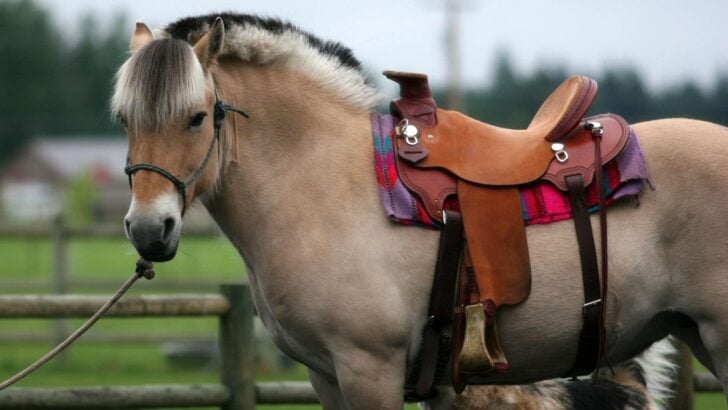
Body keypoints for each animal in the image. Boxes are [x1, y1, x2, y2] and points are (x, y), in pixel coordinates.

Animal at [112, 13, 728, 409]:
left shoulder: (370, 370)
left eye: (196, 117)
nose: (148, 230)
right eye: (124, 119)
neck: (319, 182)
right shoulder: (327, 378)